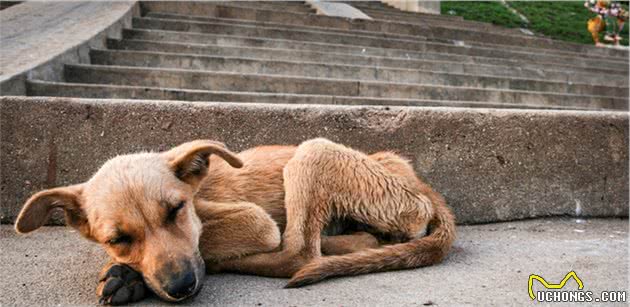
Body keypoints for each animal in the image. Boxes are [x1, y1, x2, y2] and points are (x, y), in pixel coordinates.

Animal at [14, 139, 456, 306]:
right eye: (119, 237)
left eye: (175, 211)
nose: (181, 287)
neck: (198, 193)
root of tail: (421, 185)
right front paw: (126, 271)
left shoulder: (255, 221)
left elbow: (206, 244)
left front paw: (128, 276)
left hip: (312, 151)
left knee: (298, 254)